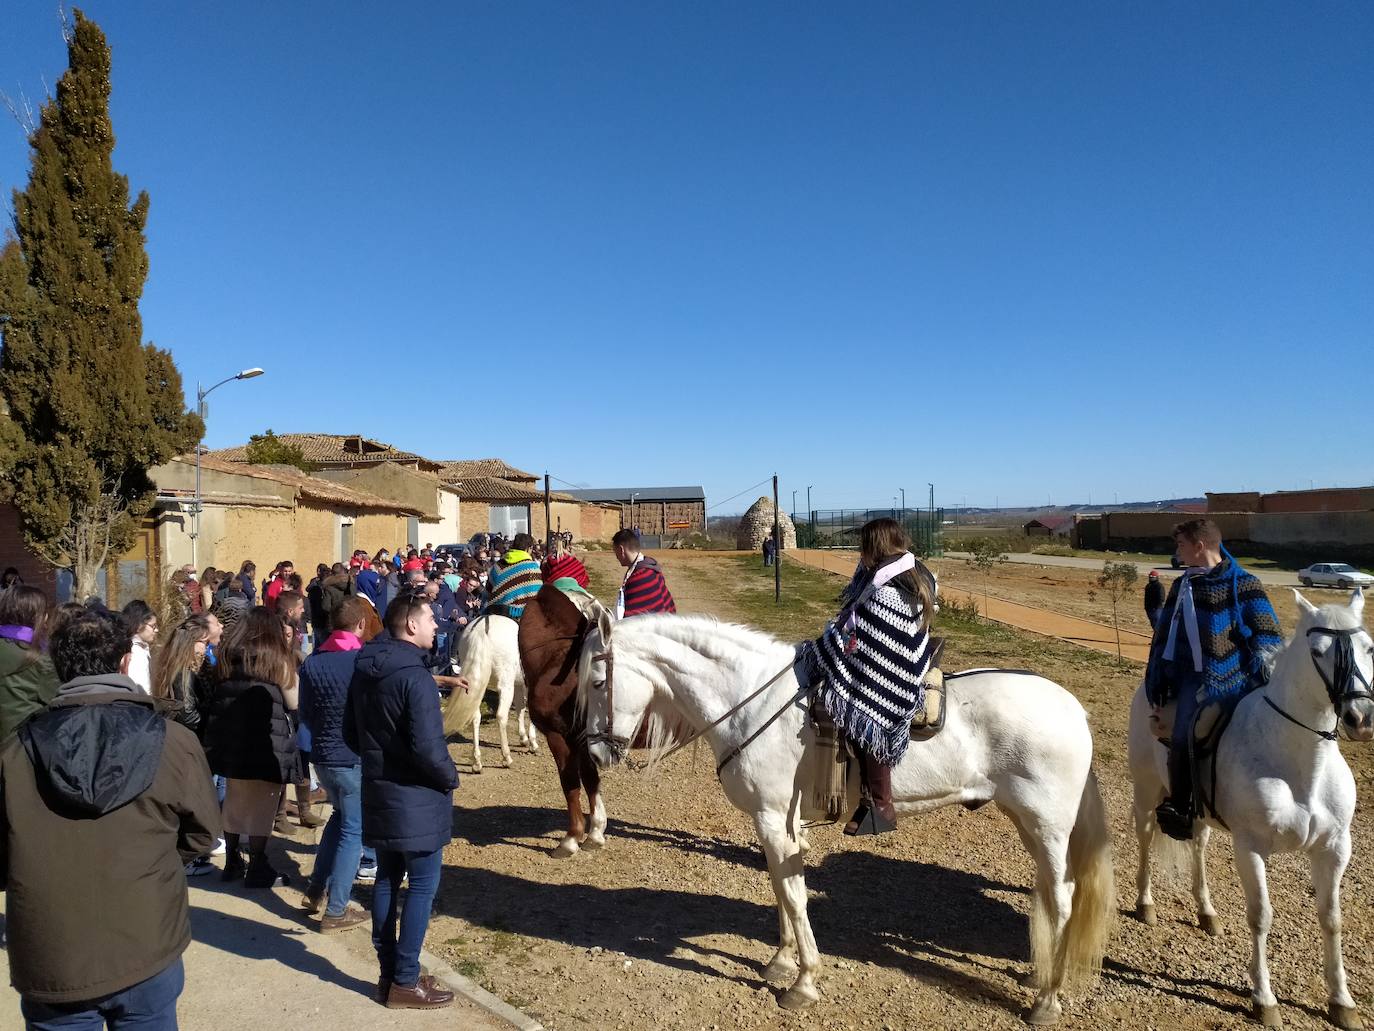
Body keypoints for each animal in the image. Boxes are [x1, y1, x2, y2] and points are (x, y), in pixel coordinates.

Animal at [445, 610, 541, 769]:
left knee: (475, 717)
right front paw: (533, 743)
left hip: (476, 687)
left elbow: (521, 708)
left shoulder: (519, 684)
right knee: (501, 716)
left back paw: (477, 761)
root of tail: (482, 627)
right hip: (505, 684)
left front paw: (524, 739)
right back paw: (506, 757)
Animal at [516, 585, 612, 857]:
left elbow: (569, 782)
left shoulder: (558, 736)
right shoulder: (583, 739)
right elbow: (590, 779)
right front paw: (596, 832)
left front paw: (571, 838)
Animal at [574, 613, 1110, 1028]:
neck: (753, 702)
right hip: (1026, 820)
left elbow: (793, 895)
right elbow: (781, 889)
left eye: (597, 683)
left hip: (1048, 824)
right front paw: (780, 961)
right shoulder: (777, 824)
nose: (596, 752)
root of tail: (1072, 707)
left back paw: (1046, 999)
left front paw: (803, 982)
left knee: (1063, 898)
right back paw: (1039, 971)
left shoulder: (773, 821)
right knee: (1051, 894)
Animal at [1126, 593, 1374, 1028]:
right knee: (1144, 839)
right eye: (1317, 651)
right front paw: (1264, 999)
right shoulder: (1251, 848)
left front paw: (1342, 1002)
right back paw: (1146, 905)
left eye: (1369, 648)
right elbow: (1261, 916)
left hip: (1198, 816)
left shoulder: (1334, 850)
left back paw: (1206, 912)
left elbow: (1332, 919)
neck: (1302, 766)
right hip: (1145, 791)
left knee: (1199, 848)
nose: (1360, 718)